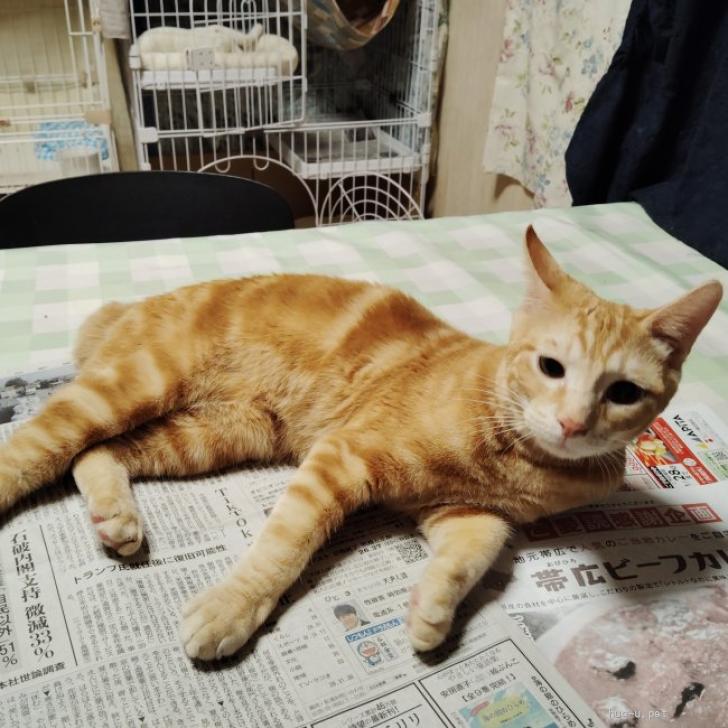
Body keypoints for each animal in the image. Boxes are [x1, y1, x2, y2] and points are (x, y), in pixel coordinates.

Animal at [0, 227, 721, 660]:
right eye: (551, 367)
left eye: (622, 392)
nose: (572, 424)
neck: (520, 455)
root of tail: (129, 306)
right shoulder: (341, 457)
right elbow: (284, 547)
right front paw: (233, 608)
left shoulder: (468, 514)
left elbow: (470, 559)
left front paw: (431, 611)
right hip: (133, 387)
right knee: (37, 445)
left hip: (216, 433)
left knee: (97, 454)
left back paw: (116, 519)